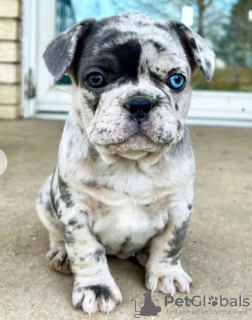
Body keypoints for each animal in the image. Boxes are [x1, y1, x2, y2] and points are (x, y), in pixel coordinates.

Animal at [36, 13, 216, 316]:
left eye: (176, 80)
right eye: (96, 79)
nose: (140, 102)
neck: (132, 163)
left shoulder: (179, 207)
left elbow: (171, 243)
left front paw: (166, 273)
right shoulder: (74, 211)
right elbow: (86, 251)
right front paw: (96, 288)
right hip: (44, 200)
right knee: (56, 234)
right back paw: (61, 254)